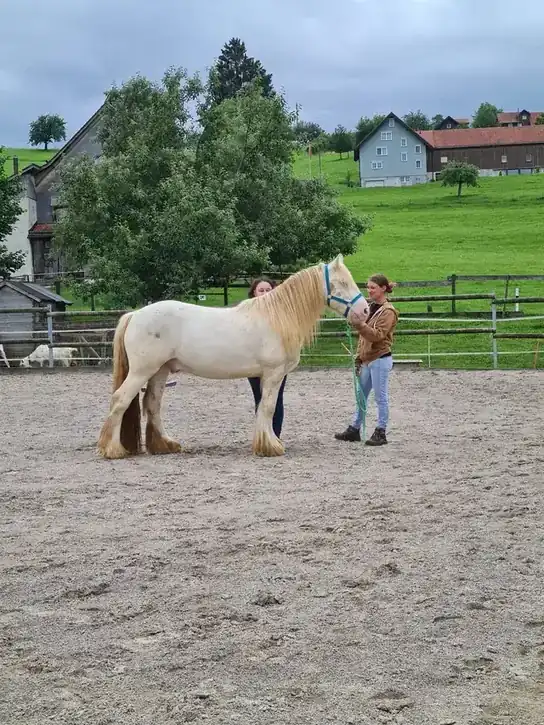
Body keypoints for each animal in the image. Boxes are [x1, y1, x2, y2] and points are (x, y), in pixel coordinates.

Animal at [97, 254, 369, 460]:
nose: (365, 310)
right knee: (120, 400)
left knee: (152, 405)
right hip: (142, 371)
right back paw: (112, 449)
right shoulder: (273, 374)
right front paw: (270, 447)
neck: (277, 318)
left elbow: (264, 408)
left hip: (160, 372)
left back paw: (165, 445)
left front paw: (266, 443)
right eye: (342, 283)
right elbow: (268, 408)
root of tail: (135, 314)